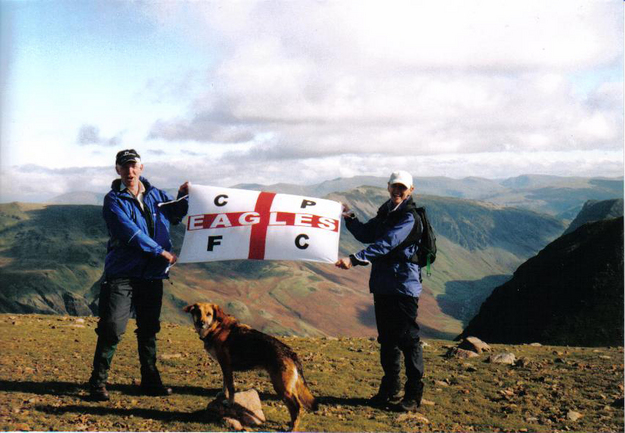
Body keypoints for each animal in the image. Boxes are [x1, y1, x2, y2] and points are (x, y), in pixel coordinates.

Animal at [182, 302, 316, 430]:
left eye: (209, 314)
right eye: (198, 312)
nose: (201, 323)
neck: (217, 327)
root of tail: (290, 352)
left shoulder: (226, 365)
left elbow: (230, 387)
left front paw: (229, 402)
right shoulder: (224, 366)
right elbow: (225, 383)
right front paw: (223, 394)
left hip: (281, 386)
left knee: (297, 407)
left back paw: (293, 427)